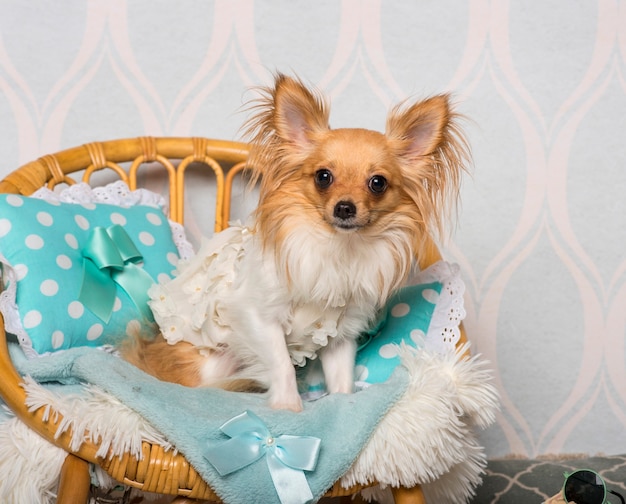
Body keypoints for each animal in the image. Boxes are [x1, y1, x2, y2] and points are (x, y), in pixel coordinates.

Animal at [122, 76, 466, 414]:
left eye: (377, 183)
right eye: (323, 177)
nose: (345, 207)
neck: (338, 248)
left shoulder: (340, 336)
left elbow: (342, 377)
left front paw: (343, 404)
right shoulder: (258, 316)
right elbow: (282, 364)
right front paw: (288, 405)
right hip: (209, 361)